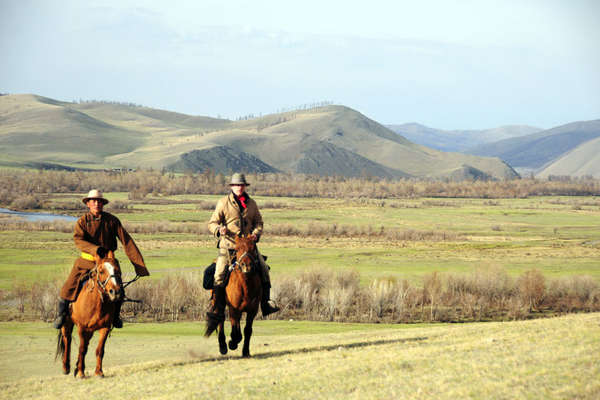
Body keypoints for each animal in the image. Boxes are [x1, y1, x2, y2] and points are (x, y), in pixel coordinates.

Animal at [55, 250, 121, 378]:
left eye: (117, 270)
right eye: (101, 271)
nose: (115, 292)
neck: (96, 303)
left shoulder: (105, 328)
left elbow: (100, 350)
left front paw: (99, 372)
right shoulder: (82, 328)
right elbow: (82, 349)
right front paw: (81, 373)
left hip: (90, 331)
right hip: (67, 324)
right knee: (67, 340)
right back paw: (66, 367)